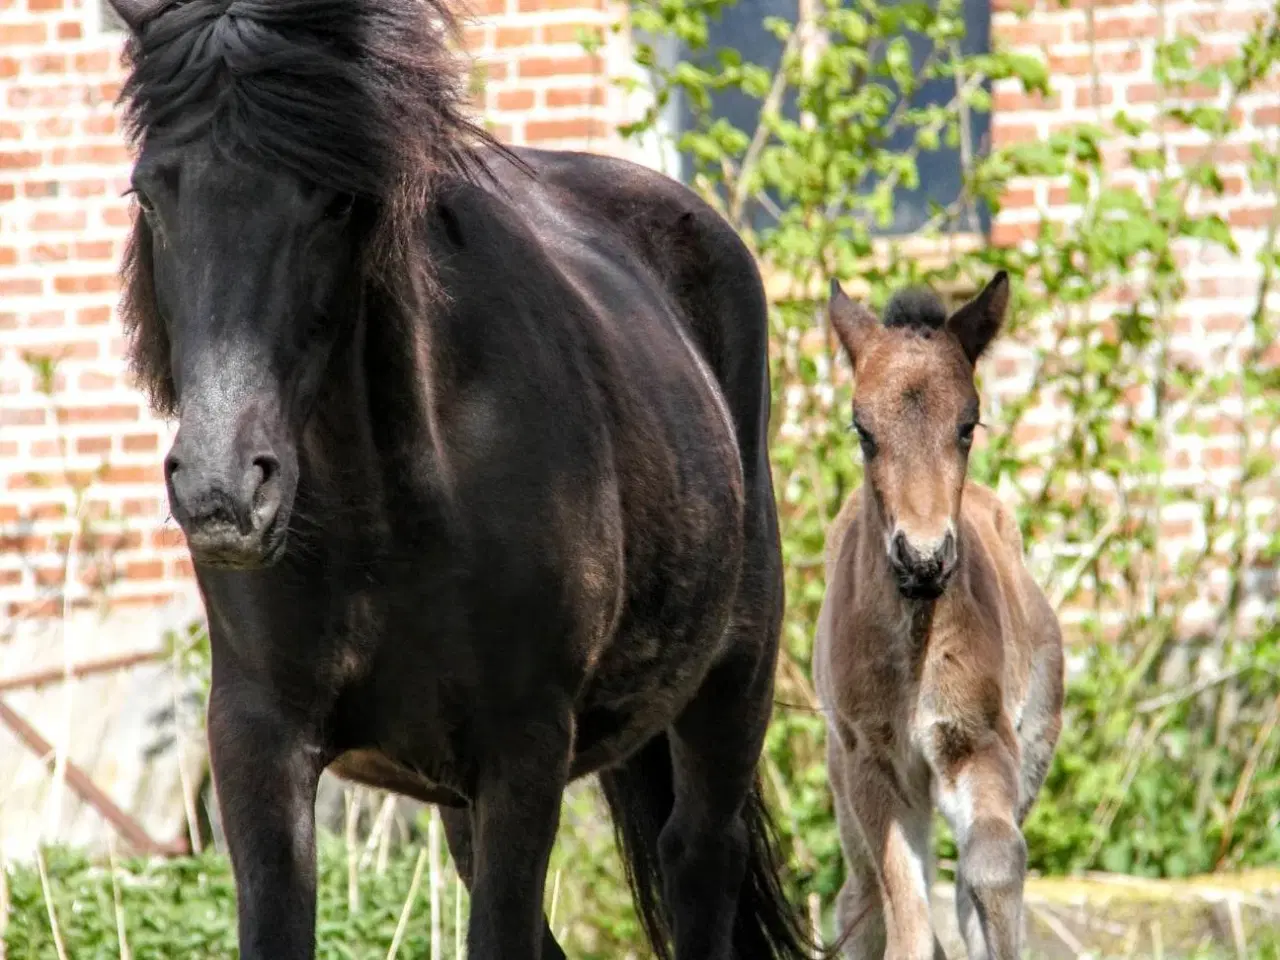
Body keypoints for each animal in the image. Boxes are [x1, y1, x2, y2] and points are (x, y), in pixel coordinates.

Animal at [110, 1, 808, 960]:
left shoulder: (524, 753)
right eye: (151, 191)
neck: (391, 517)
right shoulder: (257, 742)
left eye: (333, 198)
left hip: (729, 687)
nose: (222, 491)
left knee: (700, 859)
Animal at [814, 273, 1064, 960]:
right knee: (861, 900)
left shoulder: (979, 739)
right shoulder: (872, 764)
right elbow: (903, 906)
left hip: (1035, 745)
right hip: (842, 776)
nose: (923, 558)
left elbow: (995, 863)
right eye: (862, 429)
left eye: (967, 425)